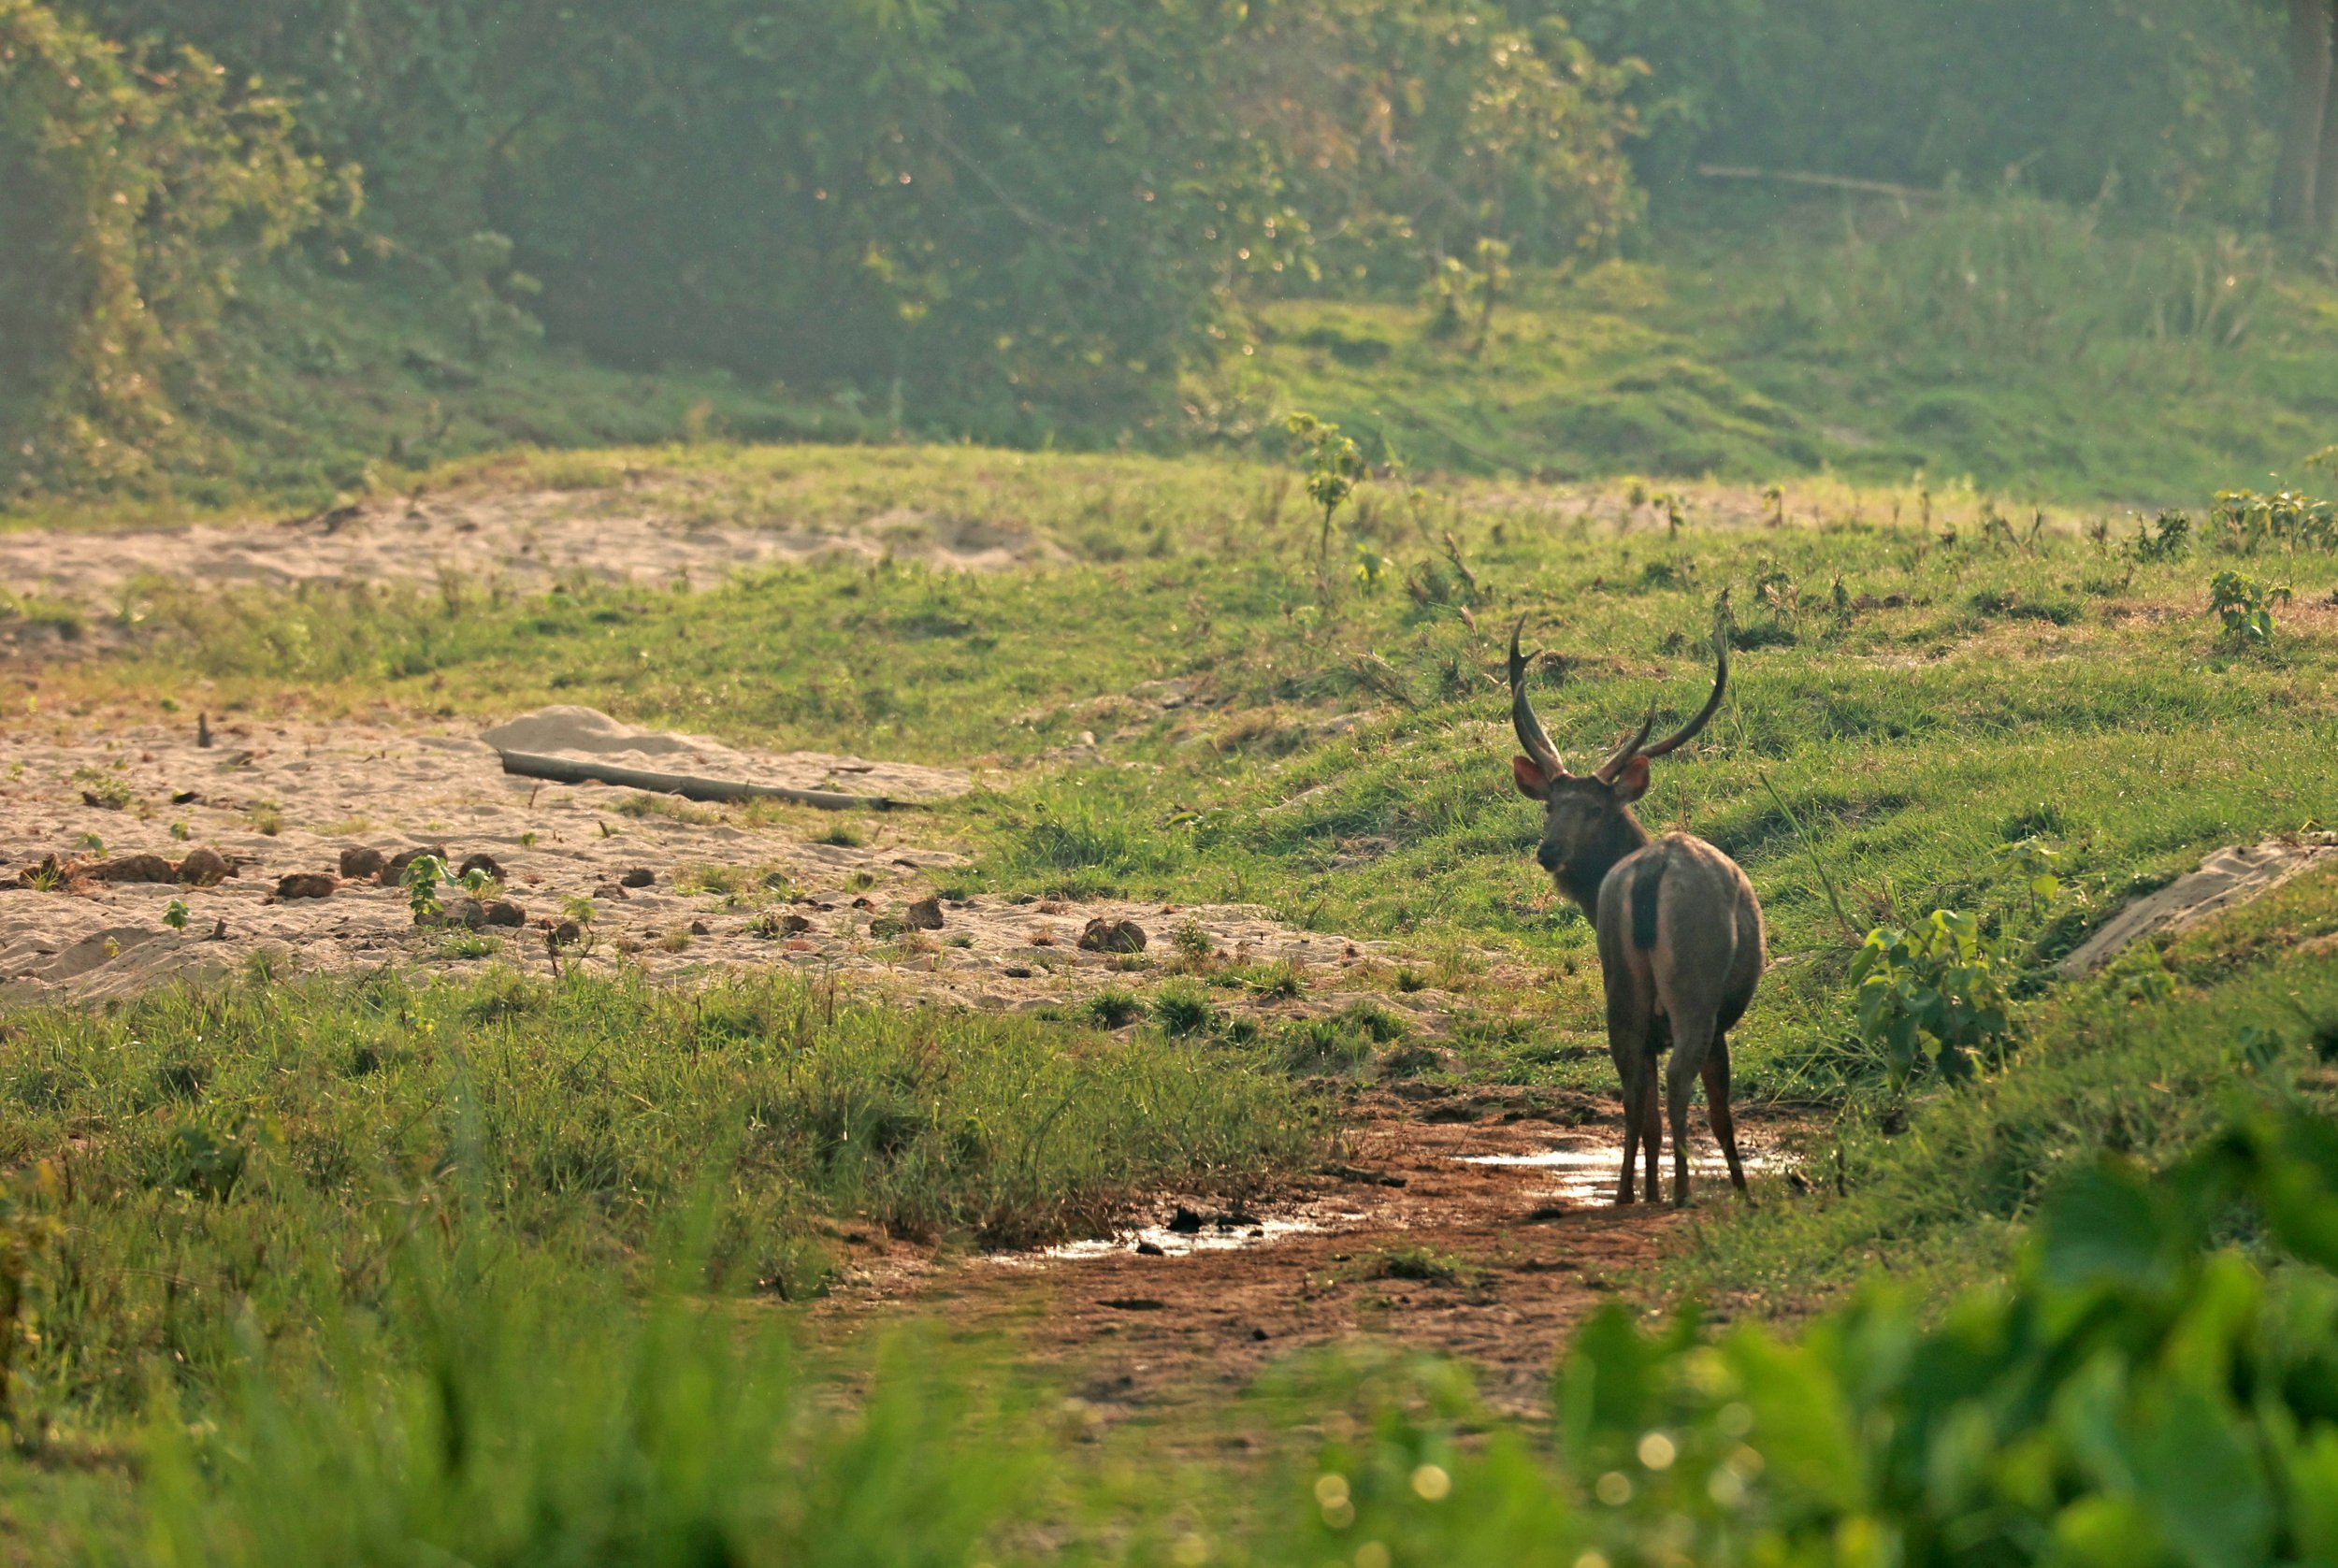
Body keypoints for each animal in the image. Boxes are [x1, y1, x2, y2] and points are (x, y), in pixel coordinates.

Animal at [1506, 594, 1763, 1208]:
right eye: (1550, 806)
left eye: (1591, 808)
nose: (1548, 850)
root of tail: (1652, 872)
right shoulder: (1718, 1023)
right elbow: (1721, 1112)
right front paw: (1739, 1189)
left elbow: (1644, 1109)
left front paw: (1646, 1190)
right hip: (1694, 986)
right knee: (1677, 1086)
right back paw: (1683, 1193)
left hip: (1621, 985)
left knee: (1630, 1091)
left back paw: (1626, 1195)